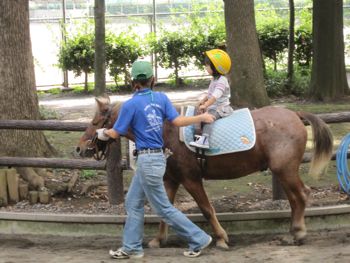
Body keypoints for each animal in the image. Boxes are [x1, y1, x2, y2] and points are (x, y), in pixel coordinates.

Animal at [76, 96, 334, 250]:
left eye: (96, 121)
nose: (79, 148)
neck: (166, 130)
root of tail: (295, 114)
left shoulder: (191, 180)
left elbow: (207, 209)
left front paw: (220, 238)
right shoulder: (170, 181)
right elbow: (165, 211)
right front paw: (159, 240)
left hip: (285, 170)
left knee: (301, 195)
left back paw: (298, 233)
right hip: (283, 172)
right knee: (295, 199)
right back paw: (293, 232)